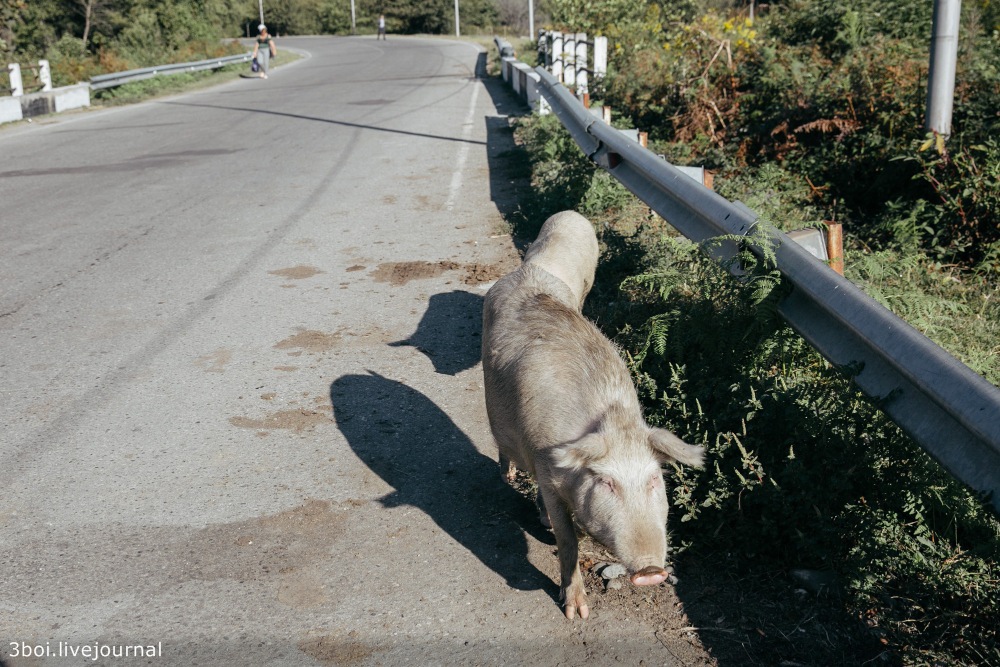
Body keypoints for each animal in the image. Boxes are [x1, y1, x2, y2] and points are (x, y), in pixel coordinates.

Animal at [482, 210, 704, 620]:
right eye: (605, 482)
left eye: (654, 479)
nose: (651, 570)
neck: (611, 422)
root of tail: (525, 271)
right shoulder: (545, 465)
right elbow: (568, 541)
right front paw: (577, 614)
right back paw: (507, 477)